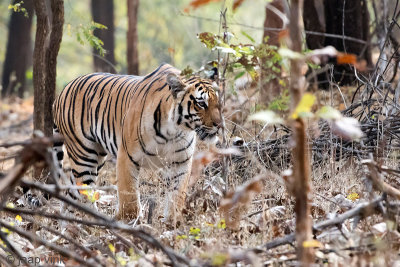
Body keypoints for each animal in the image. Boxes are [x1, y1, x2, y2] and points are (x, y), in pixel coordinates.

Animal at [51, 63, 220, 221]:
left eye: (219, 102)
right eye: (201, 103)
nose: (219, 124)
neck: (173, 130)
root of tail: (63, 90)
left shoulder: (180, 162)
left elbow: (177, 196)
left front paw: (172, 223)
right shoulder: (126, 157)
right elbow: (130, 198)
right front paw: (127, 223)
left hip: (97, 157)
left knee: (71, 193)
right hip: (84, 155)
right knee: (84, 193)